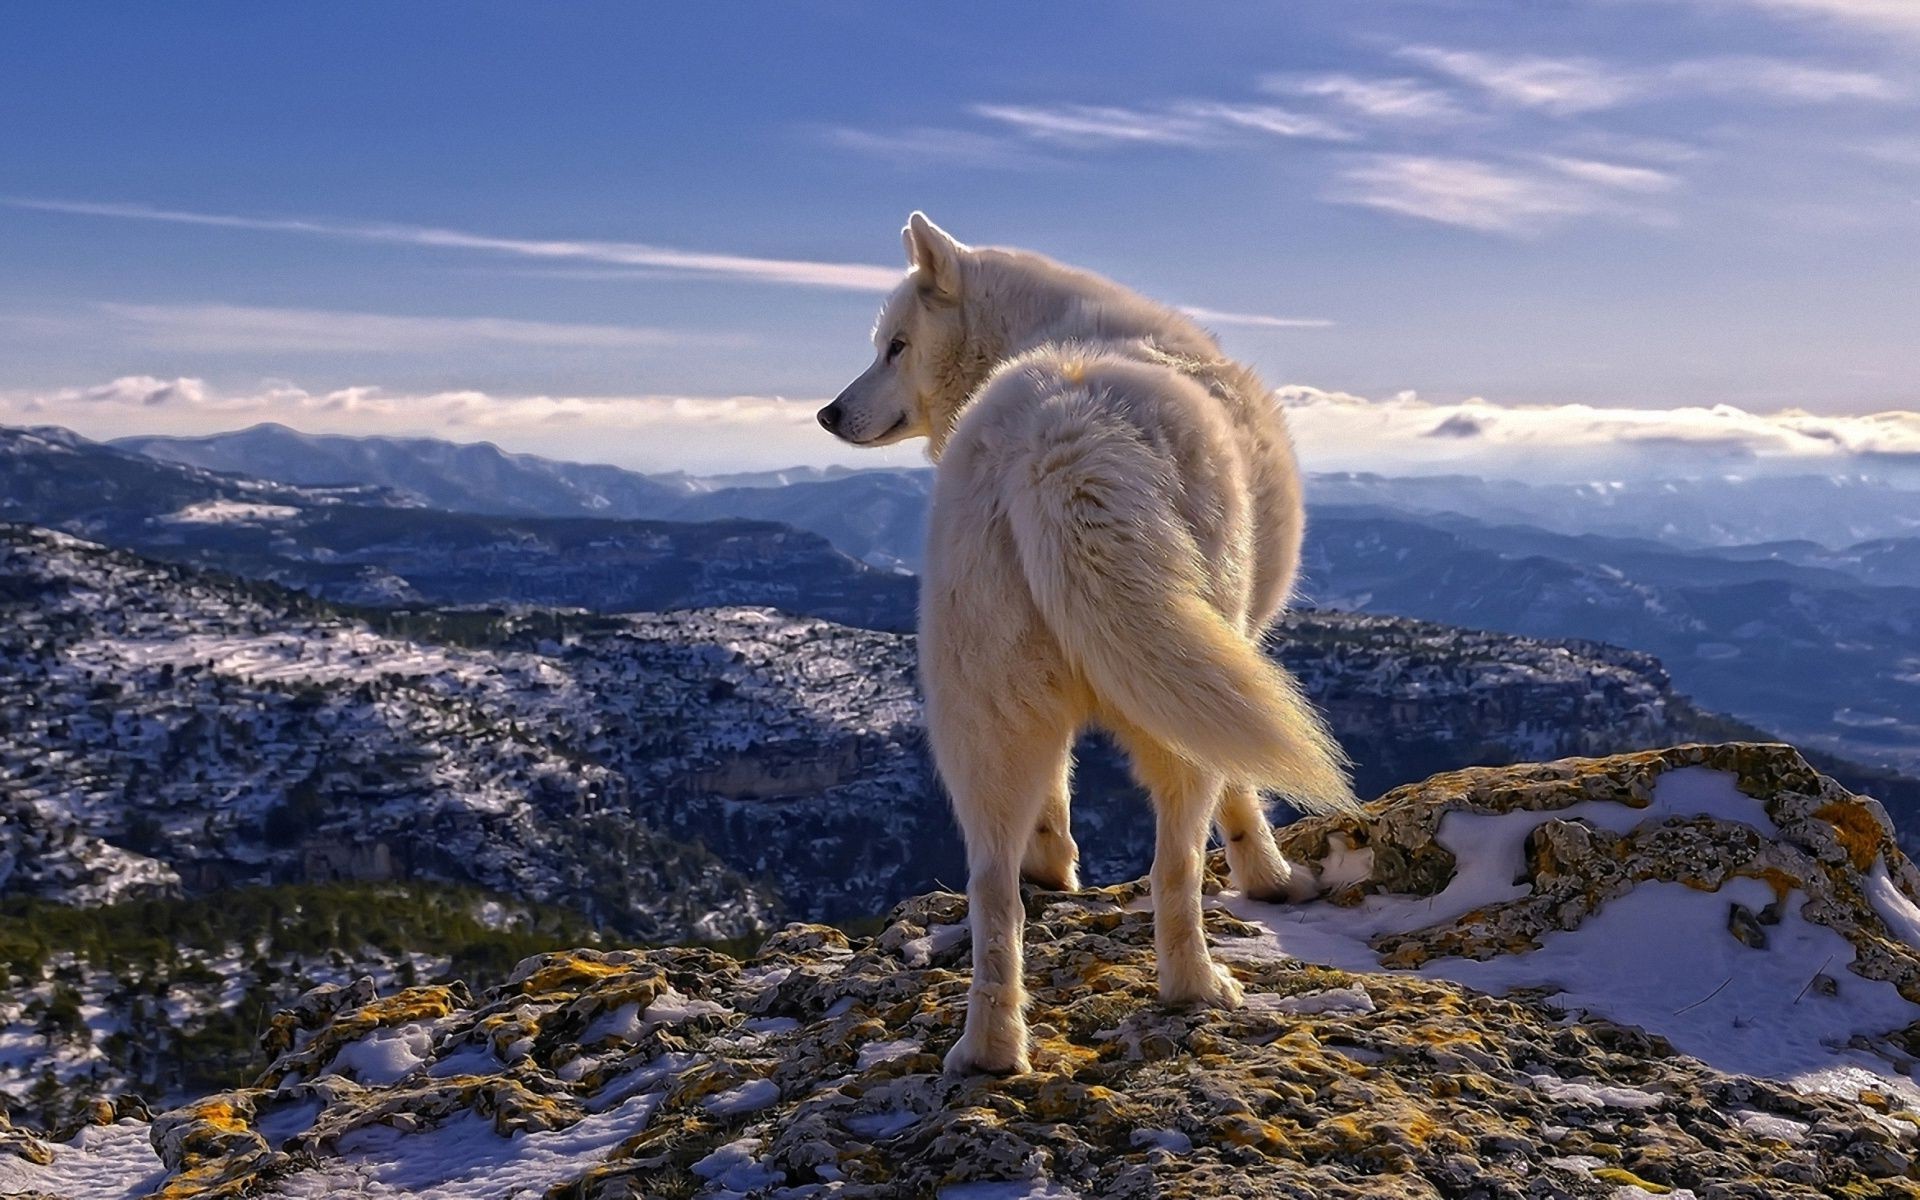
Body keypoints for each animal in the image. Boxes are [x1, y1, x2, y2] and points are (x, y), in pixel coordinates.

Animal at [817, 210, 1359, 1075]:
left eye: (895, 346)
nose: (828, 414)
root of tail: (1059, 438)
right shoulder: (1230, 648)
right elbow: (1244, 793)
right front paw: (1271, 879)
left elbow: (1057, 793)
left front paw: (1053, 866)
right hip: (1171, 703)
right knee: (1174, 864)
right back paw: (1198, 987)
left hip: (984, 713)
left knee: (991, 884)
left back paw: (992, 1048)